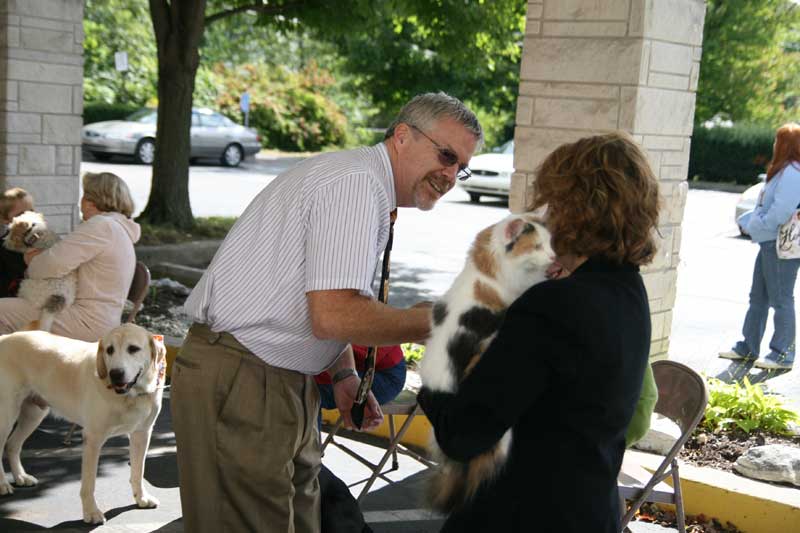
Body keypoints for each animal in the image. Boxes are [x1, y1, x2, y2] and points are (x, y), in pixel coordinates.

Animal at [0, 322, 167, 520]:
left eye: (133, 349)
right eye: (109, 350)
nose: (115, 374)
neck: (131, 396)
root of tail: (5, 338)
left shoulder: (142, 434)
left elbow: (138, 472)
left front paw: (141, 498)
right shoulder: (93, 438)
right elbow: (89, 483)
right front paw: (91, 512)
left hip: (34, 414)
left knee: (12, 445)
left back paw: (20, 477)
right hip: (7, 415)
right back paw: (2, 484)